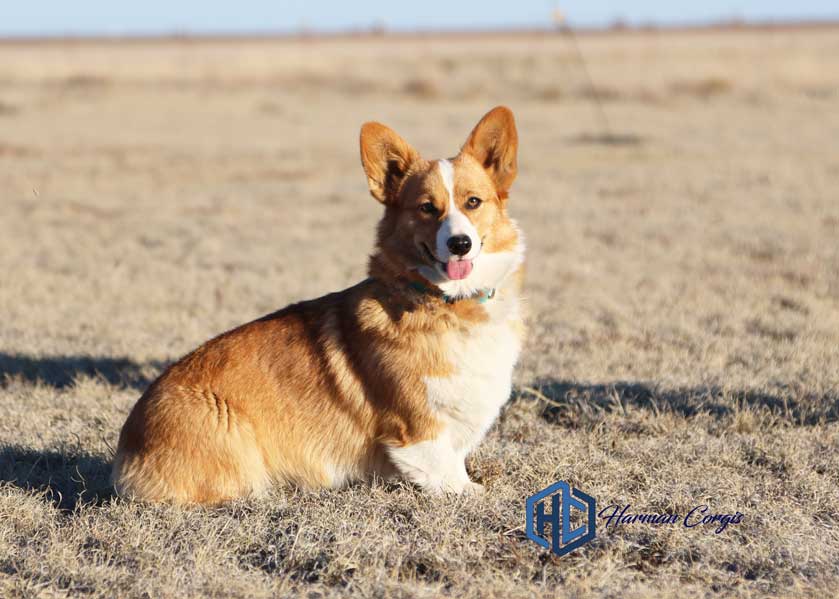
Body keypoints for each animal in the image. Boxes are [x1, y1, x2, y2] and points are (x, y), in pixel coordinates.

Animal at [113, 105, 524, 504]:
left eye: (473, 202)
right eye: (426, 208)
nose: (459, 244)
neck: (449, 303)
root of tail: (128, 447)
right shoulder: (418, 429)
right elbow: (445, 469)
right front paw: (470, 491)